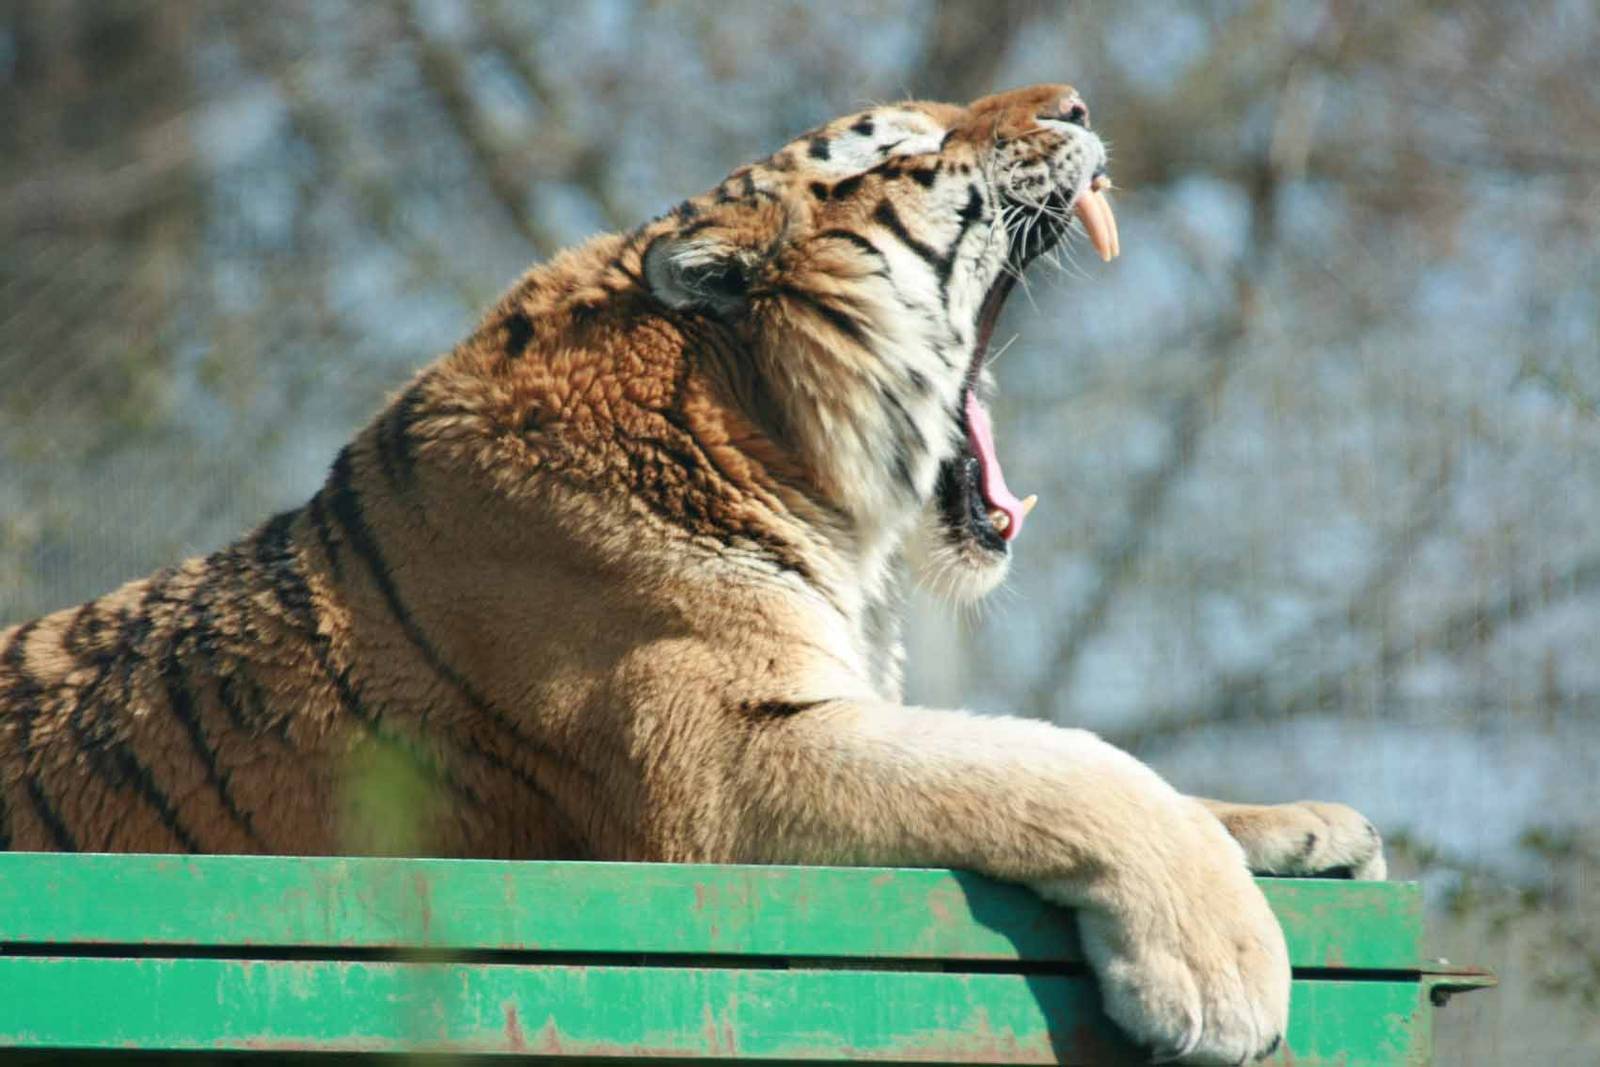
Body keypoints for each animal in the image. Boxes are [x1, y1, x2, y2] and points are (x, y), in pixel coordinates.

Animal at [1, 84, 1385, 1063]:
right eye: (908, 143)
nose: (1081, 107)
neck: (771, 439)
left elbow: (1097, 763)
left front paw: (1313, 828)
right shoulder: (721, 759)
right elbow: (1057, 764)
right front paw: (1219, 966)